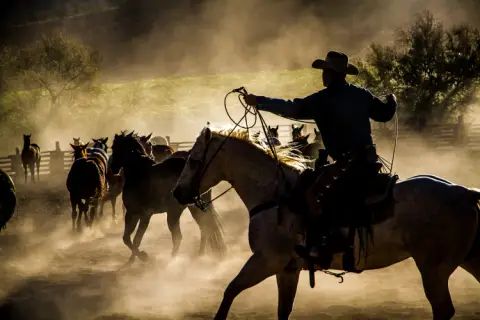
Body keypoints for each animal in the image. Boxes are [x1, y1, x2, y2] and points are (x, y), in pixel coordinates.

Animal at [110, 130, 227, 264]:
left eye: (113, 147)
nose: (113, 168)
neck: (138, 172)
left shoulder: (141, 214)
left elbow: (134, 239)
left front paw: (142, 257)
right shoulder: (135, 214)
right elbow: (128, 238)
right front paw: (133, 259)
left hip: (174, 212)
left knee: (179, 236)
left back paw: (173, 260)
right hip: (193, 208)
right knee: (205, 228)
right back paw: (199, 255)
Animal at [174, 125, 480, 320]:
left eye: (194, 160)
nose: (178, 193)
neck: (275, 194)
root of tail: (463, 191)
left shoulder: (266, 260)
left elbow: (230, 291)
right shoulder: (287, 269)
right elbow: (282, 310)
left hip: (433, 269)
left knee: (443, 310)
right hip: (466, 259)